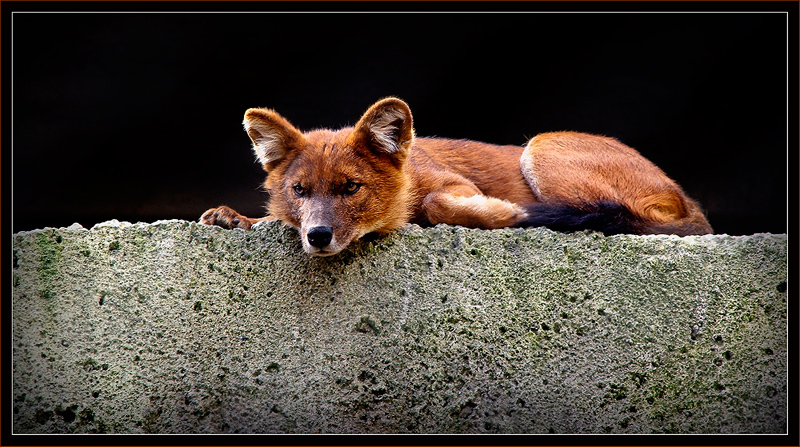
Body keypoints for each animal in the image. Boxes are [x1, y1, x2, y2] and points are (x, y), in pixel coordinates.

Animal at [202, 97, 712, 256]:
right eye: (299, 191)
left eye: (351, 187)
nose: (319, 236)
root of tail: (692, 202)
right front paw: (236, 218)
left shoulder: (452, 187)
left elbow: (436, 203)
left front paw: (508, 214)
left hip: (543, 144)